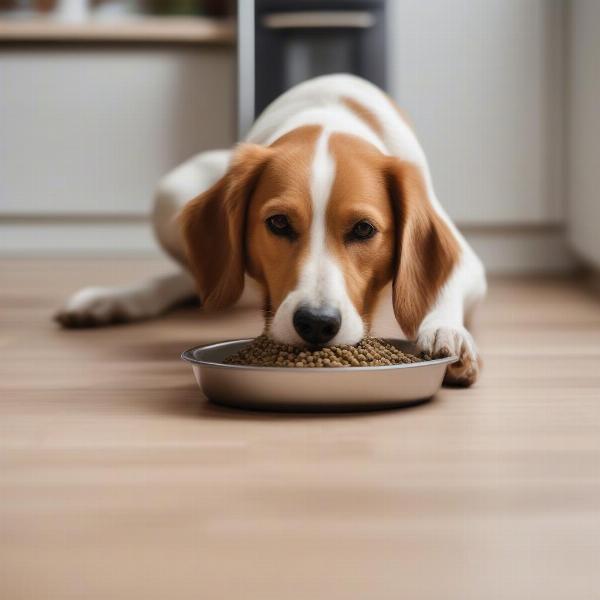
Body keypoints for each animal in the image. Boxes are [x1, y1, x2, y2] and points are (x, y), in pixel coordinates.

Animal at [55, 75, 488, 386]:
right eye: (278, 222)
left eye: (364, 229)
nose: (317, 323)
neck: (328, 120)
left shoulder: (467, 259)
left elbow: (443, 288)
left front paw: (445, 331)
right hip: (172, 191)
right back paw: (113, 300)